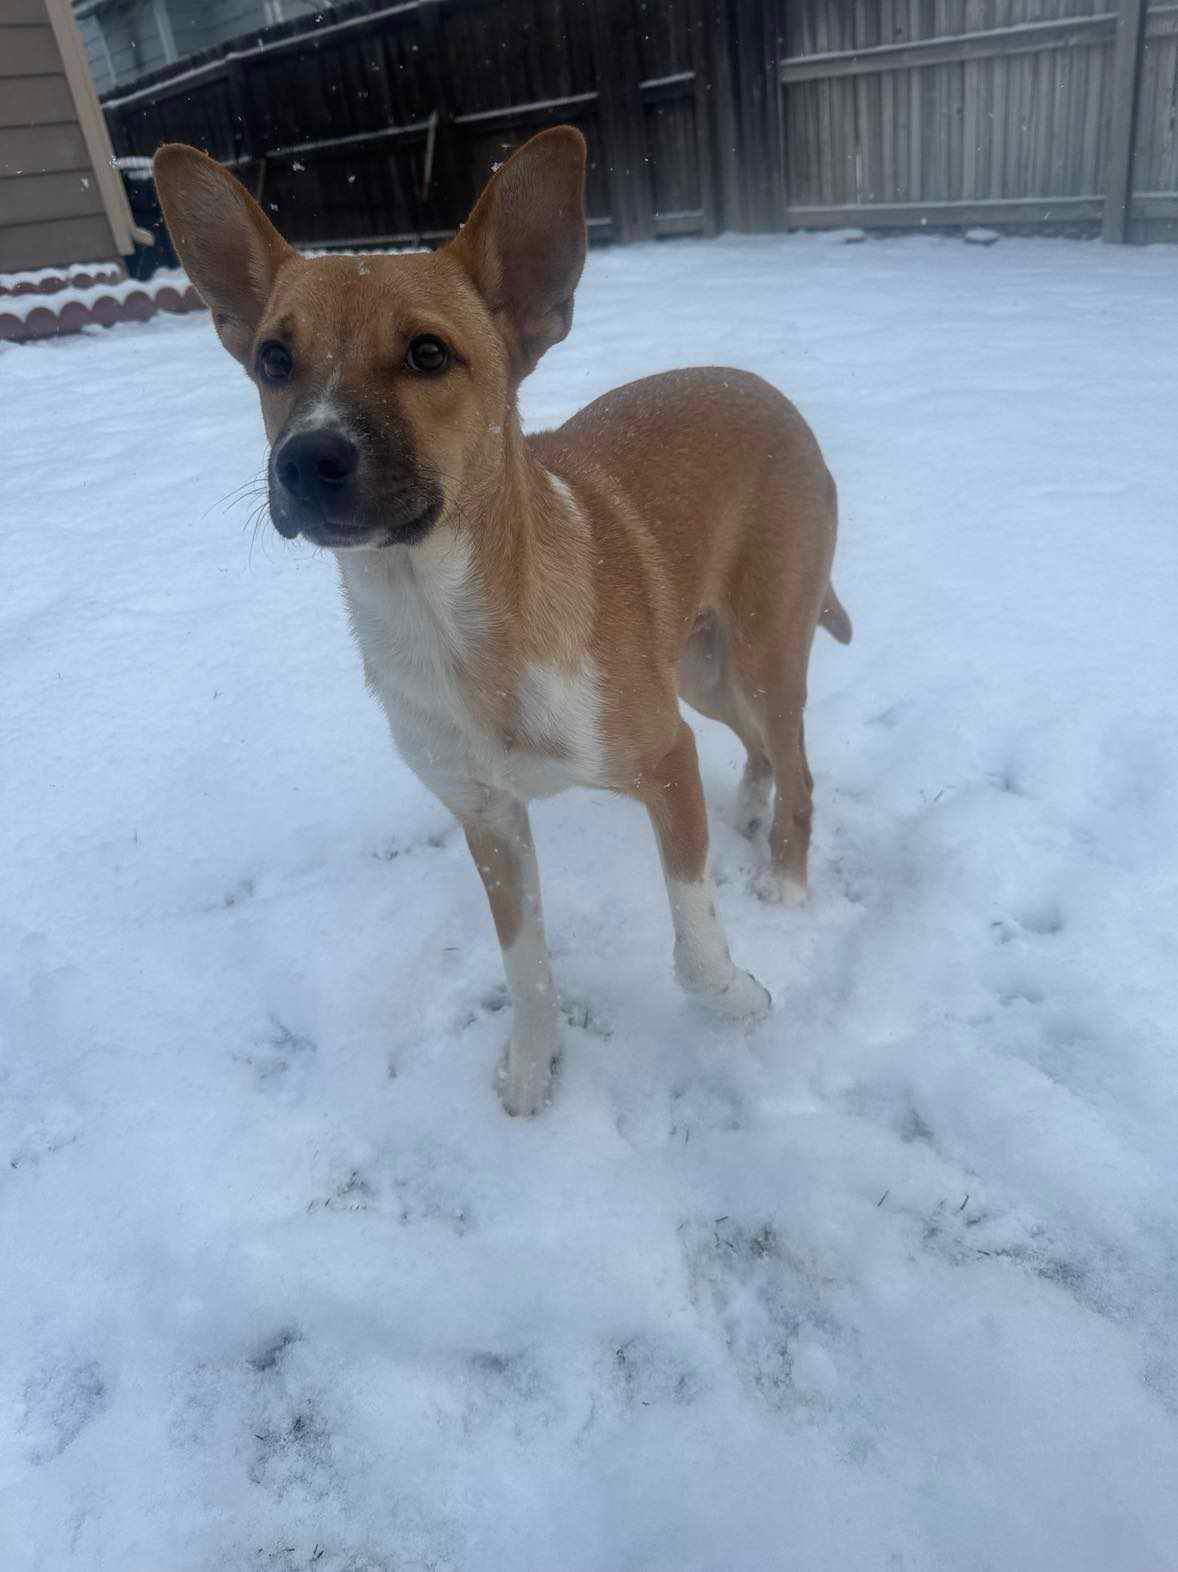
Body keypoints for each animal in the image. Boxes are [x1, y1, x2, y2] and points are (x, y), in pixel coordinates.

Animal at [151, 125, 849, 1119]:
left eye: (428, 354)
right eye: (274, 359)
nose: (305, 460)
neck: (450, 626)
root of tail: (765, 388)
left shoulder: (664, 763)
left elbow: (691, 943)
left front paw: (737, 999)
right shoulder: (488, 818)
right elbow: (526, 966)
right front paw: (531, 1064)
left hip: (760, 650)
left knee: (798, 761)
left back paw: (786, 874)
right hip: (701, 671)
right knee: (758, 745)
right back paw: (751, 806)